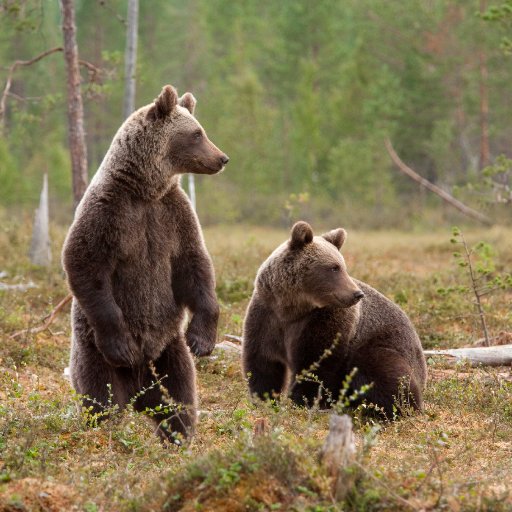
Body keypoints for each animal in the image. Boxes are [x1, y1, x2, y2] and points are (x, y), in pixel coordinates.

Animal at [62, 85, 228, 444]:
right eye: (197, 133)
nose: (222, 158)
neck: (145, 189)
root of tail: (139, 390)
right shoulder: (109, 212)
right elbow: (85, 263)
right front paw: (122, 343)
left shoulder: (173, 214)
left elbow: (194, 265)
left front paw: (202, 339)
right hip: (92, 352)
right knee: (102, 397)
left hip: (169, 353)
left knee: (180, 397)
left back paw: (179, 435)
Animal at [242, 221, 426, 416]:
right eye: (334, 267)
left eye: (342, 266)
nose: (356, 294)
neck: (292, 308)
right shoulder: (267, 315)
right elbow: (263, 363)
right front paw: (265, 400)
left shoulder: (324, 321)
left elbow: (316, 363)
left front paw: (302, 402)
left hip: (385, 344)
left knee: (382, 371)